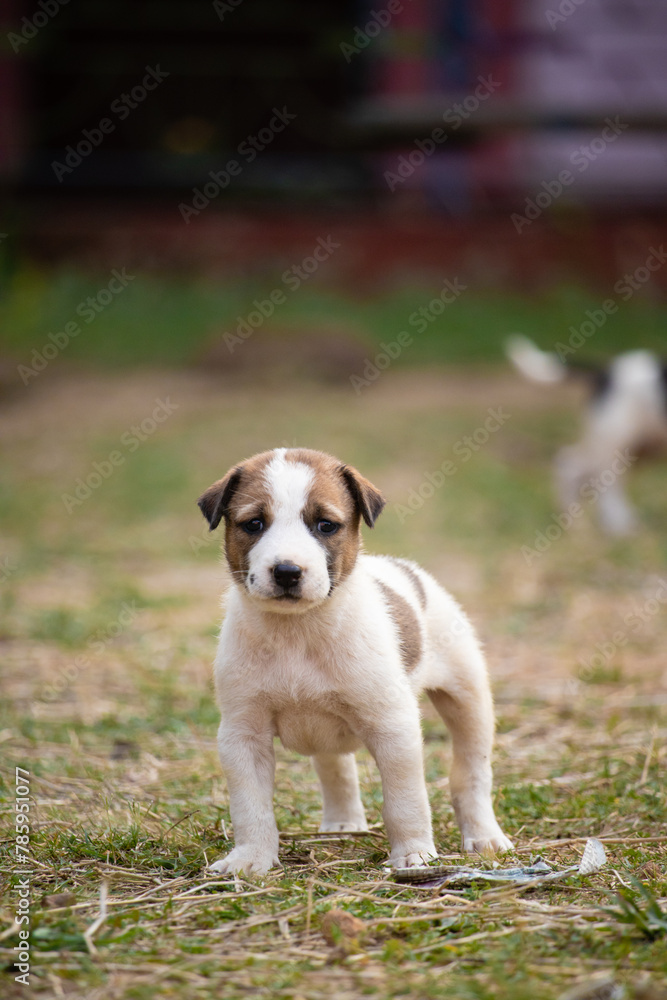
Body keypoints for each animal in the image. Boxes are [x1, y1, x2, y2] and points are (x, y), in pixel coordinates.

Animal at [198, 448, 512, 876]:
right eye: (254, 523)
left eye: (326, 525)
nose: (286, 572)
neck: (297, 632)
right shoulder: (243, 735)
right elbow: (251, 807)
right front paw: (251, 858)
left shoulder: (393, 728)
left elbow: (405, 801)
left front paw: (414, 853)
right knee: (336, 769)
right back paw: (342, 823)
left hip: (469, 701)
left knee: (472, 773)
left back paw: (484, 836)